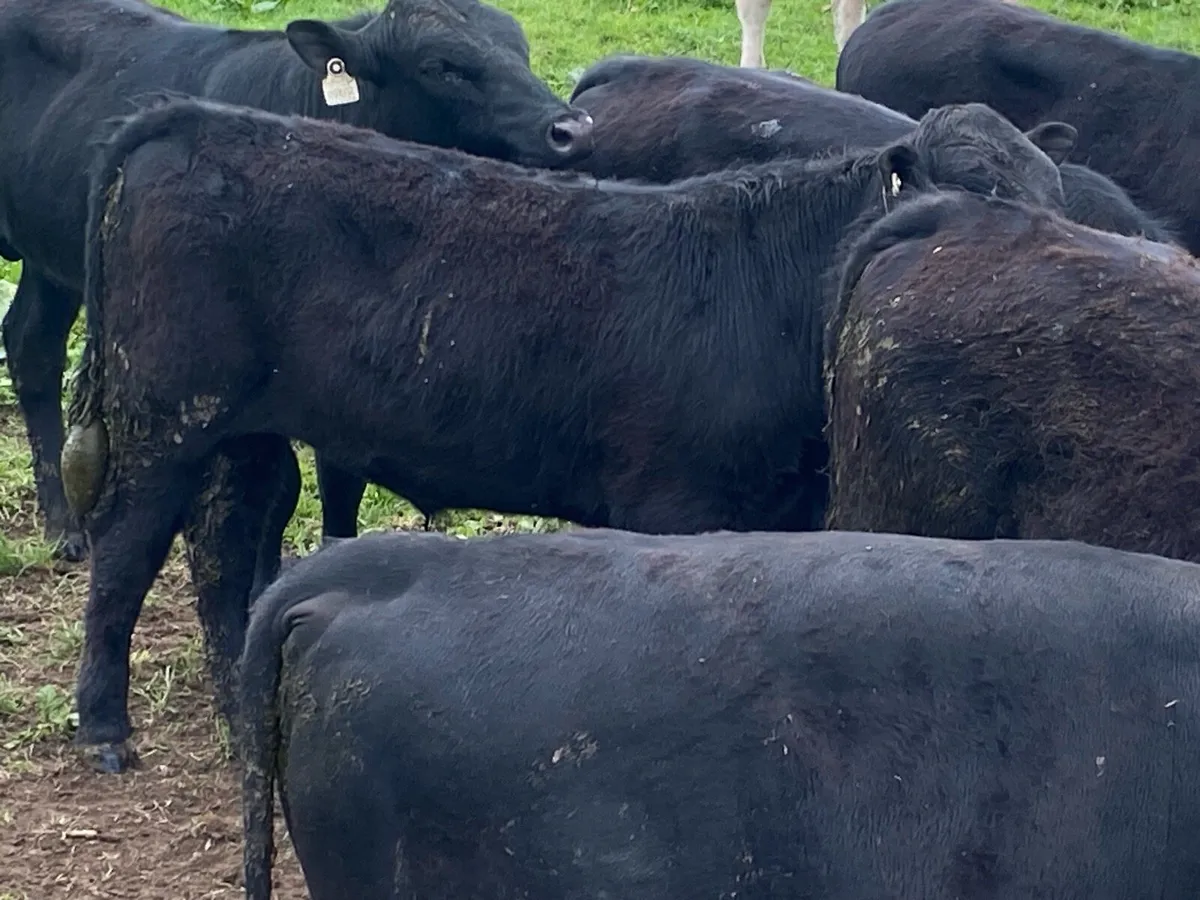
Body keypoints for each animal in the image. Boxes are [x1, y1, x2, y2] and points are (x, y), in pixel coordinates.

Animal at [0, 0, 594, 563]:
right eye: (439, 67)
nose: (571, 130)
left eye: (520, 51)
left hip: (52, 262)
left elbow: (340, 481)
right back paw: (65, 527)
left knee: (31, 347)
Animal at [59, 94, 1078, 772]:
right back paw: (105, 726)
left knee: (222, 549)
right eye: (965, 201)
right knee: (126, 551)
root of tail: (196, 118)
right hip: (164, 418)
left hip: (240, 432)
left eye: (1055, 196)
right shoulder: (674, 504)